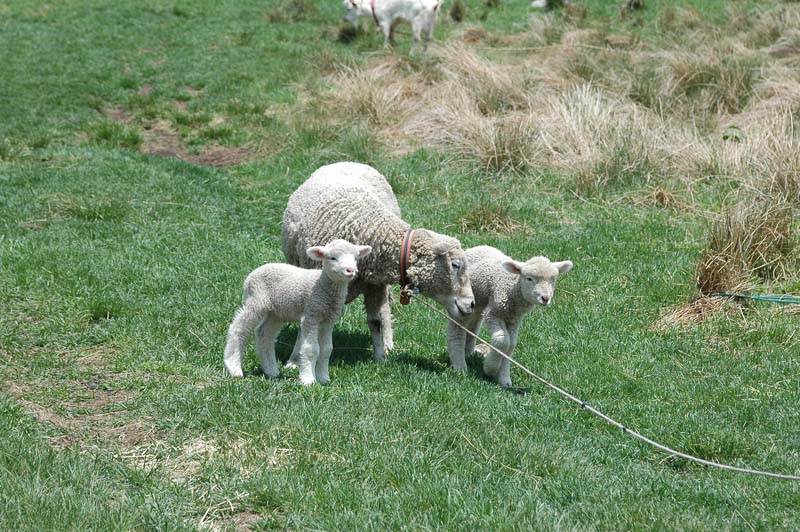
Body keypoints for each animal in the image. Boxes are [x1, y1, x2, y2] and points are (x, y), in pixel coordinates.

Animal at [225, 239, 372, 384]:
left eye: (355, 258)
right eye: (333, 258)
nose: (350, 270)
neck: (323, 286)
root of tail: (252, 274)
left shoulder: (328, 320)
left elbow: (326, 349)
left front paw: (323, 378)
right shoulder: (311, 315)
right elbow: (311, 349)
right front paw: (308, 380)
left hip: (276, 312)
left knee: (264, 334)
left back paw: (271, 370)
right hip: (256, 299)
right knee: (238, 328)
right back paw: (233, 367)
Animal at [280, 161, 472, 362]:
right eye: (455, 265)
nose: (471, 304)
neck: (371, 228)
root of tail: (346, 161)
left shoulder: (374, 286)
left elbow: (376, 321)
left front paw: (380, 357)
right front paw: (295, 360)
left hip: (381, 283)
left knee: (385, 311)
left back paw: (388, 344)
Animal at [446, 245, 572, 386]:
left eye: (553, 280)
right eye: (529, 278)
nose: (545, 298)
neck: (512, 288)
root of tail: (476, 247)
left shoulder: (514, 319)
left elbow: (511, 344)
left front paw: (504, 379)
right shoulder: (494, 313)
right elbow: (502, 341)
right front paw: (490, 368)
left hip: (478, 303)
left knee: (473, 324)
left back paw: (468, 352)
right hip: (462, 299)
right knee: (456, 329)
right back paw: (459, 366)